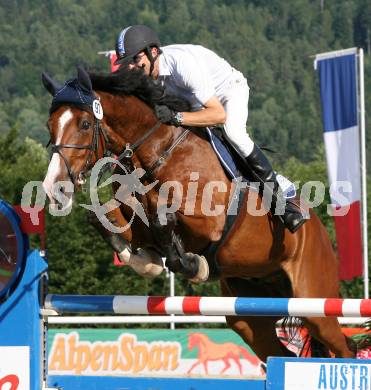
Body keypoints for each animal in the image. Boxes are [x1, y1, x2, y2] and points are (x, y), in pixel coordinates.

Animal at [42, 65, 358, 362]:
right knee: (276, 350)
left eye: (85, 123)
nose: (54, 187)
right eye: (50, 125)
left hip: (313, 301)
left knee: (343, 346)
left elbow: (163, 219)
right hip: (250, 313)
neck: (158, 152)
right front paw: (145, 260)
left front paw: (190, 264)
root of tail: (320, 232)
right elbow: (102, 218)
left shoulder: (209, 223)